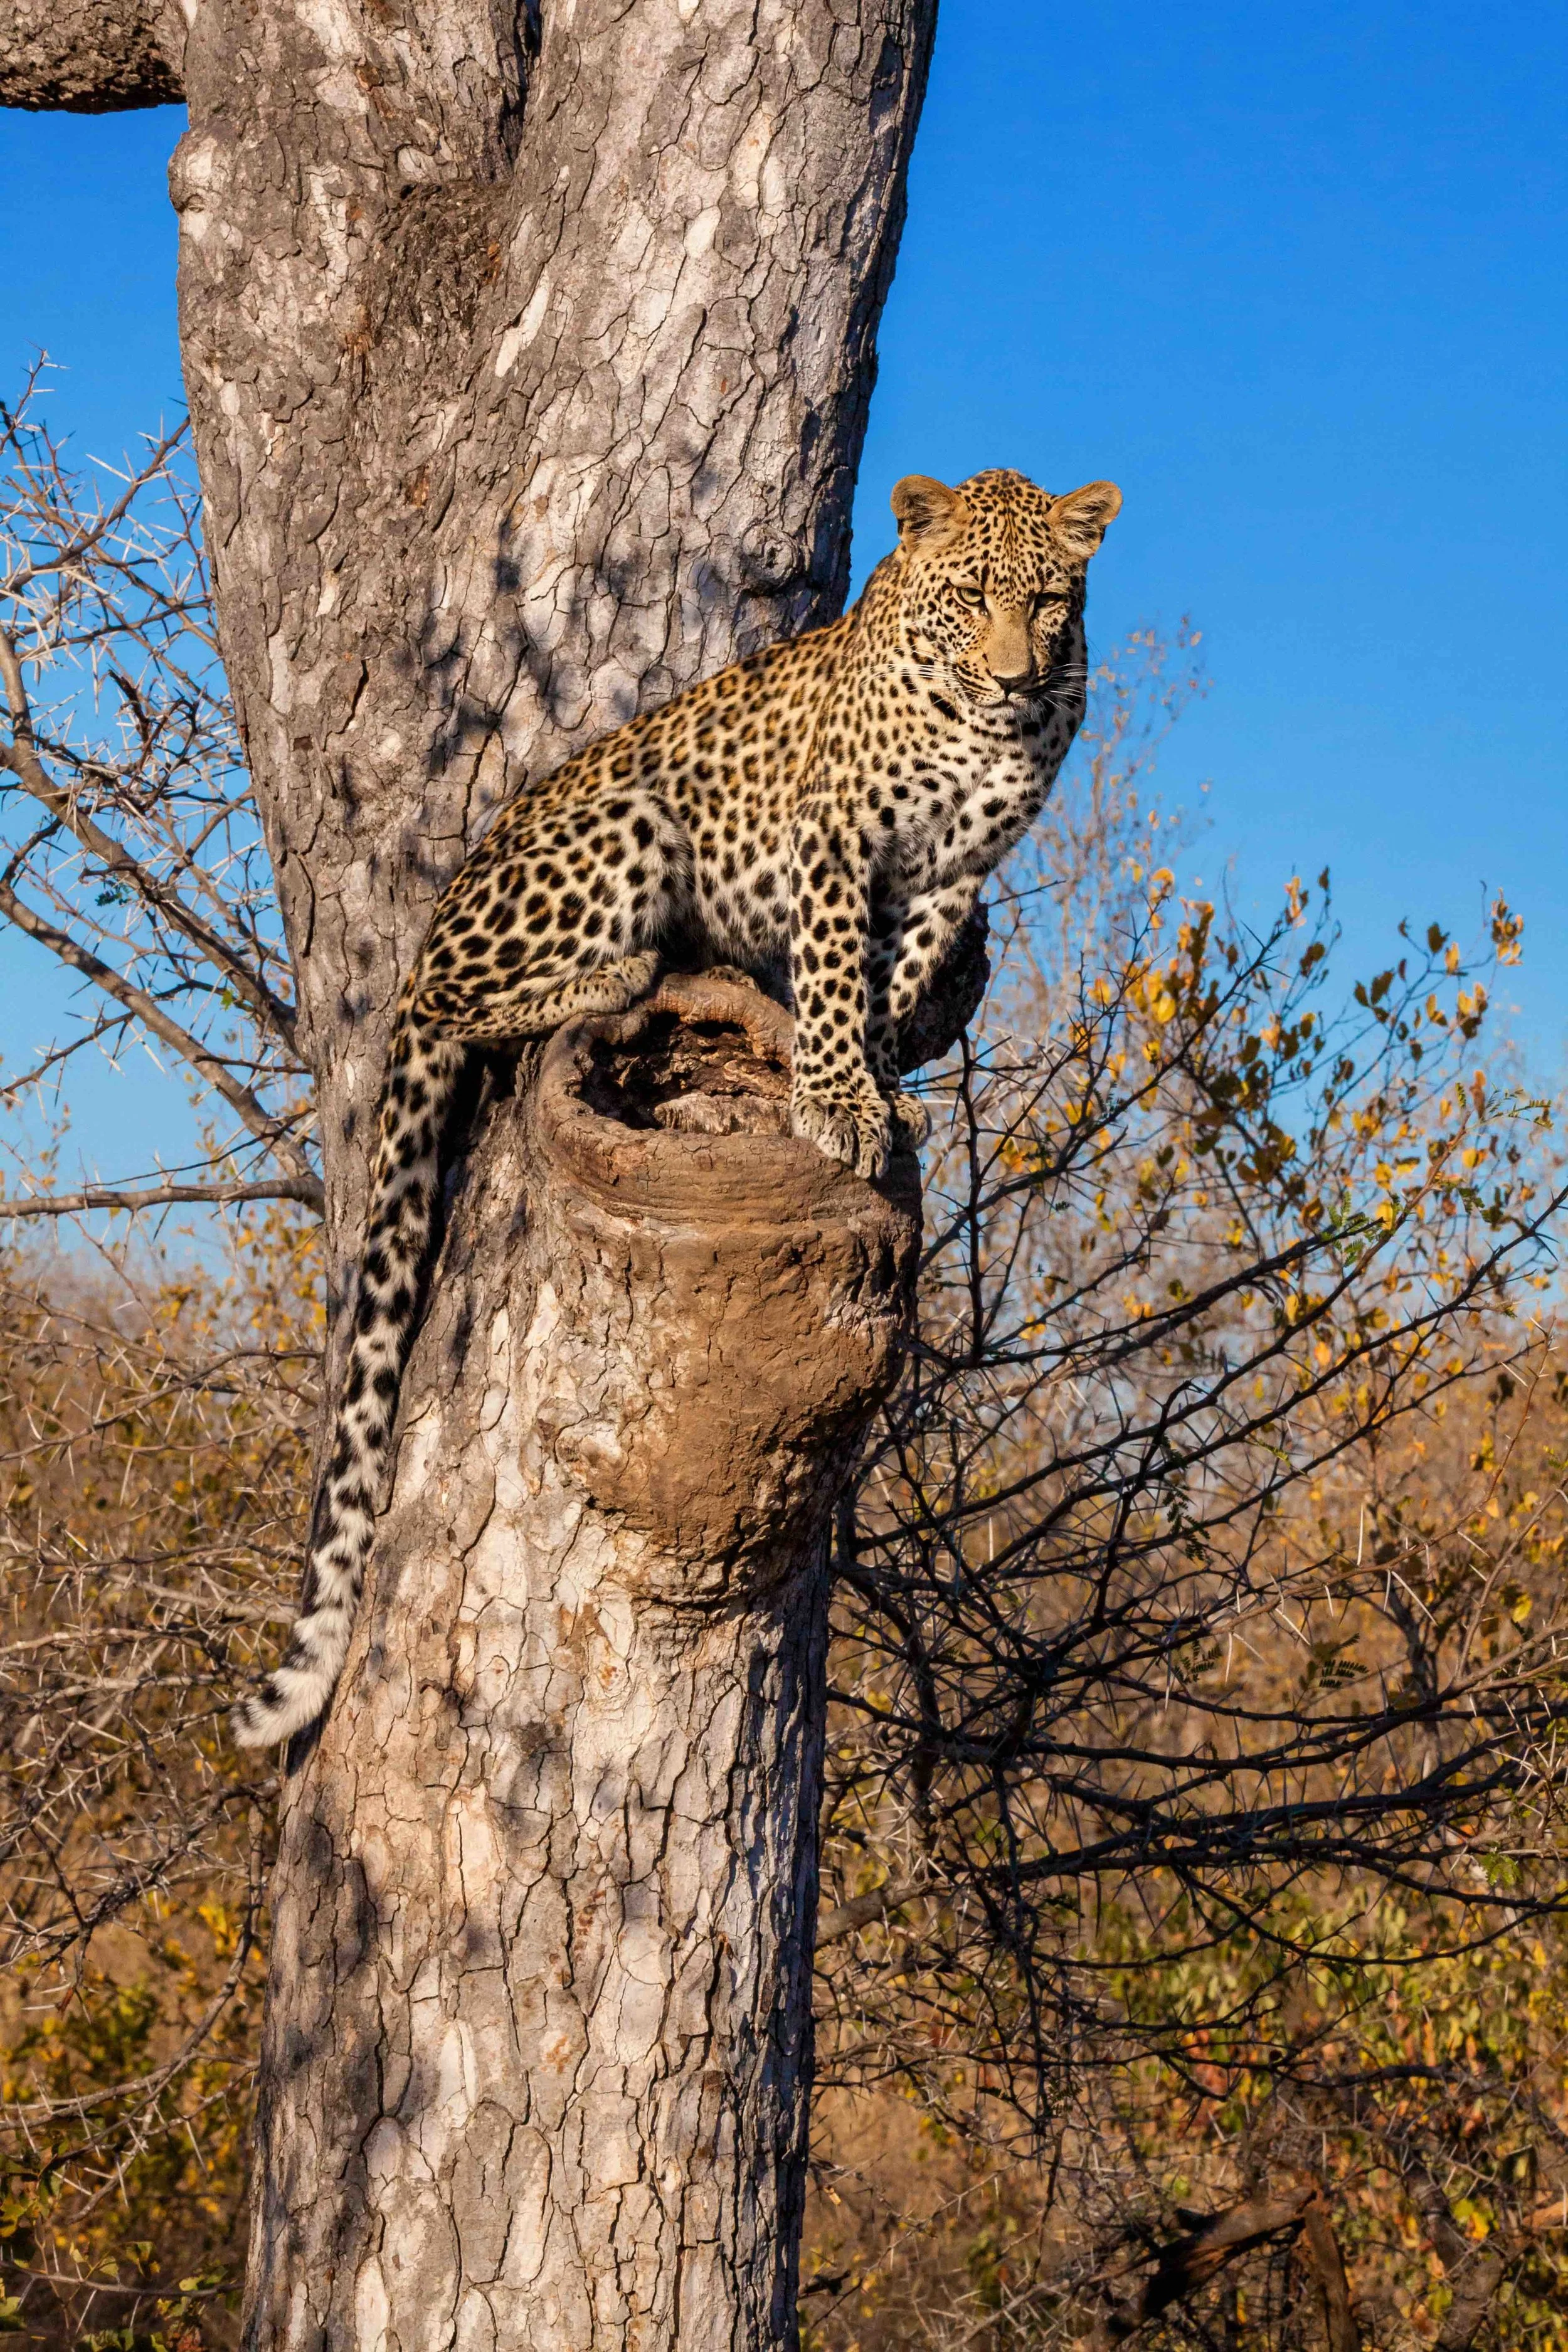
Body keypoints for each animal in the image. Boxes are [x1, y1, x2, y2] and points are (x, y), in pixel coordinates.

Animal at [232, 465, 1121, 1748]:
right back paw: (621, 971)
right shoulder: (836, 834)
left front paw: (876, 1080)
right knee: (463, 1001)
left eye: (1050, 600)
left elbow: (900, 980)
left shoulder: (953, 878)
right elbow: (840, 968)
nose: (1014, 676)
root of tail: (438, 919)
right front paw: (837, 1090)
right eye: (970, 598)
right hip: (626, 826)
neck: (983, 728)